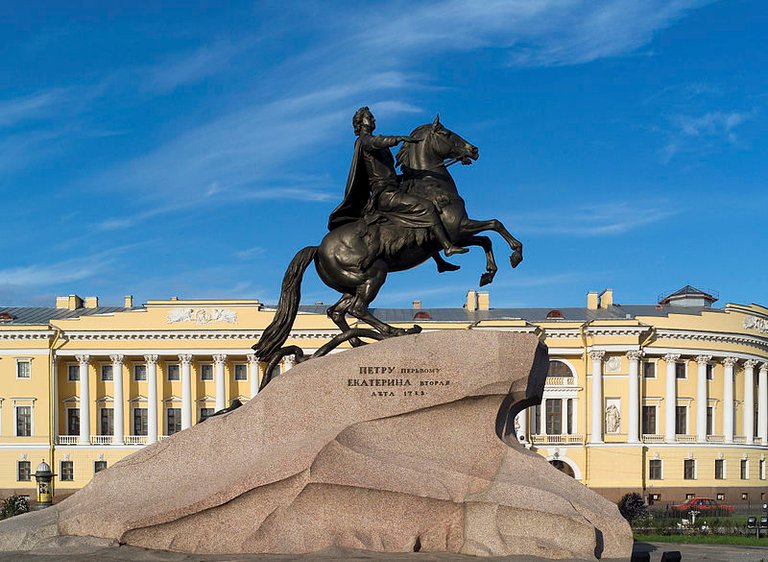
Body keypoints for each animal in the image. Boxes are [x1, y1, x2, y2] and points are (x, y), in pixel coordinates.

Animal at [255, 114, 524, 376]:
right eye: (447, 134)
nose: (473, 149)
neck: (432, 186)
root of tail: (318, 249)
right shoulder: (458, 228)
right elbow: (495, 225)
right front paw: (515, 254)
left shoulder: (459, 233)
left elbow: (486, 239)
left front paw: (488, 274)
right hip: (374, 274)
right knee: (358, 309)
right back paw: (395, 331)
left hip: (352, 284)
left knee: (337, 311)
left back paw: (360, 341)